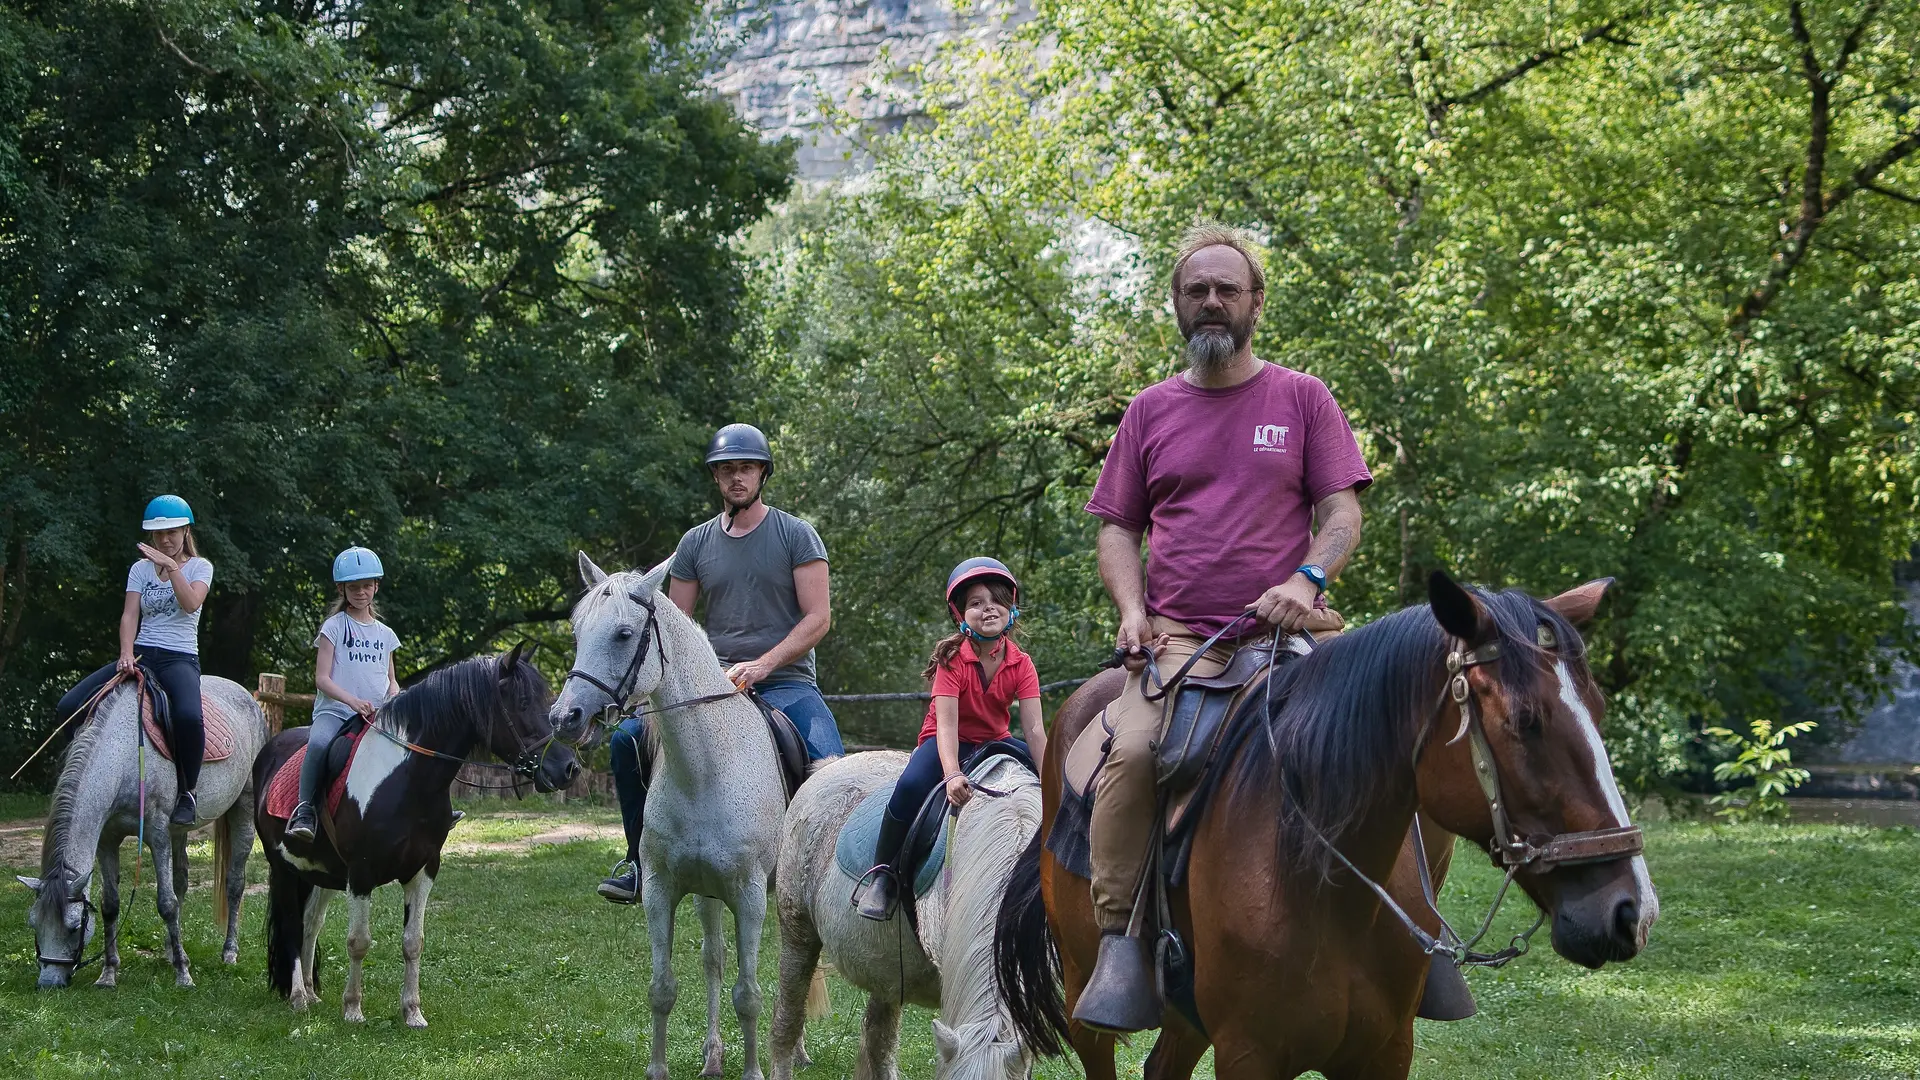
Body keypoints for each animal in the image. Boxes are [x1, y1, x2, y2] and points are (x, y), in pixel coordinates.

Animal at [990, 568, 1651, 1068]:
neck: (1323, 884)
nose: (1631, 912)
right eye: (1524, 720)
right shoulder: (1250, 1055)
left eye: (1598, 709)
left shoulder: (1383, 1054)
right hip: (1087, 997)